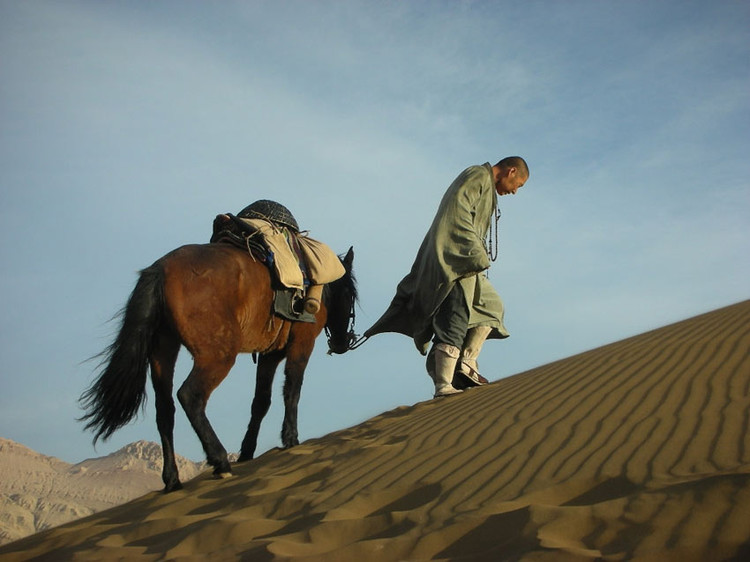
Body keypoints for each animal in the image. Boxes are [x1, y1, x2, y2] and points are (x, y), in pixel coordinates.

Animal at [79, 243, 358, 488]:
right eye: (350, 295)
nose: (343, 342)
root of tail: (160, 269)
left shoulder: (269, 354)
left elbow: (261, 402)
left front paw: (247, 451)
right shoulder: (301, 343)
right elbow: (292, 390)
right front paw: (290, 438)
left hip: (163, 350)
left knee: (165, 410)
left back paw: (173, 480)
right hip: (218, 355)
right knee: (190, 396)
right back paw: (220, 461)